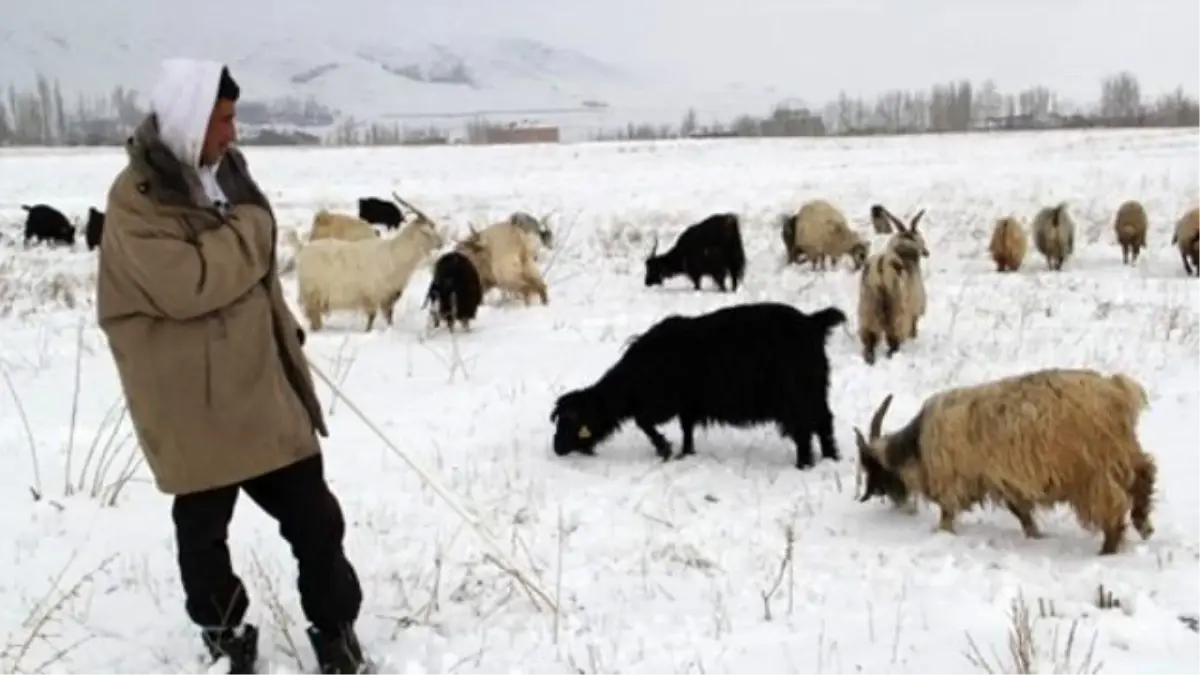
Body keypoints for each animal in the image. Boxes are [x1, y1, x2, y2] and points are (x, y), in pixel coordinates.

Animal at [297, 216, 448, 329]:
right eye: (427, 232)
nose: (441, 243)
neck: (393, 255)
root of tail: (304, 251)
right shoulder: (371, 295)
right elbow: (372, 318)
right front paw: (368, 332)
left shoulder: (389, 295)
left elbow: (389, 316)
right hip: (313, 295)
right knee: (314, 317)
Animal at [549, 300, 844, 468]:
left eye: (569, 421)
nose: (556, 449)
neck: (632, 381)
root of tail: (813, 323)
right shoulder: (687, 405)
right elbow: (687, 429)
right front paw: (685, 453)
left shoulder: (662, 403)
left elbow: (644, 423)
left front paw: (665, 449)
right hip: (815, 390)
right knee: (824, 423)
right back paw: (831, 458)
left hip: (795, 395)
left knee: (805, 431)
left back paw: (803, 464)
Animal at [854, 367, 1152, 552]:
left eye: (872, 467)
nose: (872, 494)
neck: (917, 444)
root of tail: (1117, 390)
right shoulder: (1005, 482)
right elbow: (1021, 512)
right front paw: (1036, 536)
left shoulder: (959, 480)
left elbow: (950, 513)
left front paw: (943, 533)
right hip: (1122, 454)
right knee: (1145, 473)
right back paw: (1144, 525)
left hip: (1092, 470)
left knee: (1113, 506)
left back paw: (1108, 549)